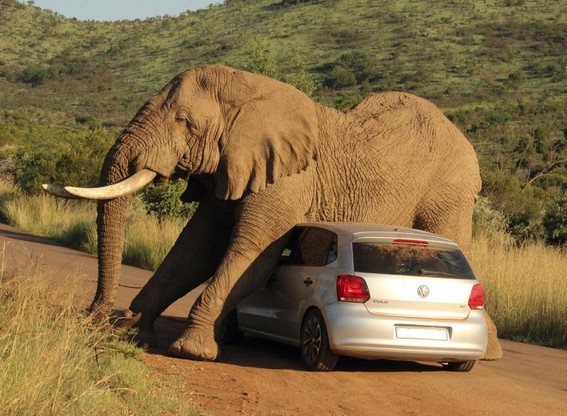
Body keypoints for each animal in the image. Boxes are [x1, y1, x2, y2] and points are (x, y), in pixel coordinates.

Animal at [43, 64, 502, 360]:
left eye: (184, 121)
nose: (95, 317)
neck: (251, 91)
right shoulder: (231, 167)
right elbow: (195, 250)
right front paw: (136, 329)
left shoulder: (287, 180)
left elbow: (251, 254)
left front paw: (190, 350)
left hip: (449, 188)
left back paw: (490, 351)